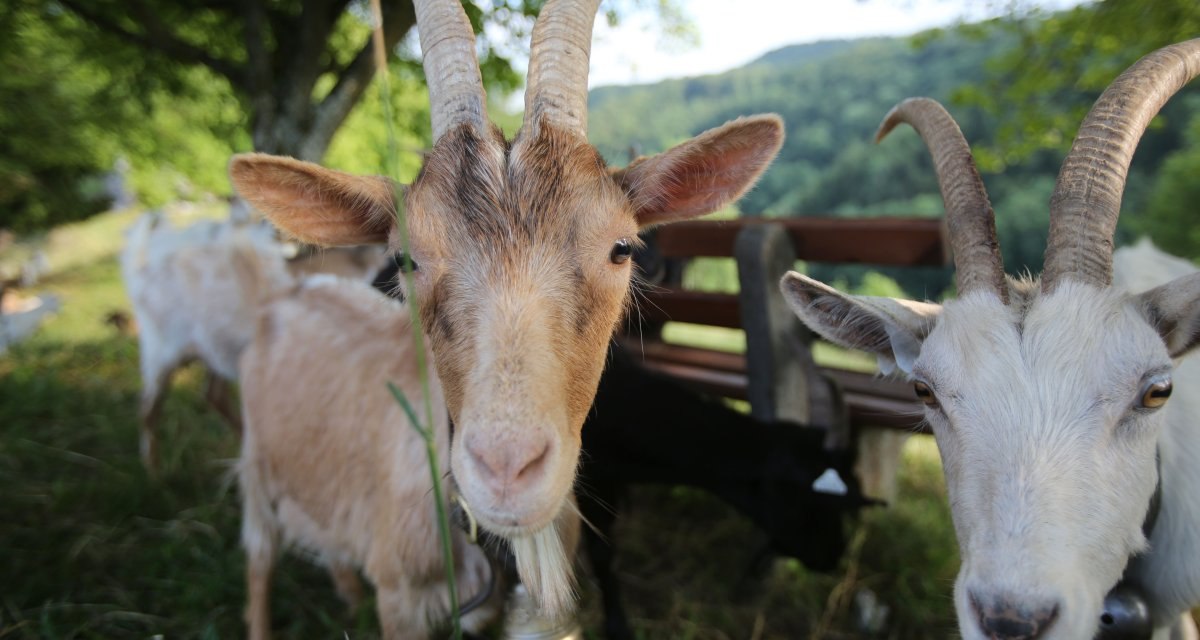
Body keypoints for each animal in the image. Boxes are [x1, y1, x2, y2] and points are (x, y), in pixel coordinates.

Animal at [228, 0, 783, 615]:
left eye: (622, 247)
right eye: (404, 258)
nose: (506, 471)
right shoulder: (399, 598)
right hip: (255, 461)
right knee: (257, 557)